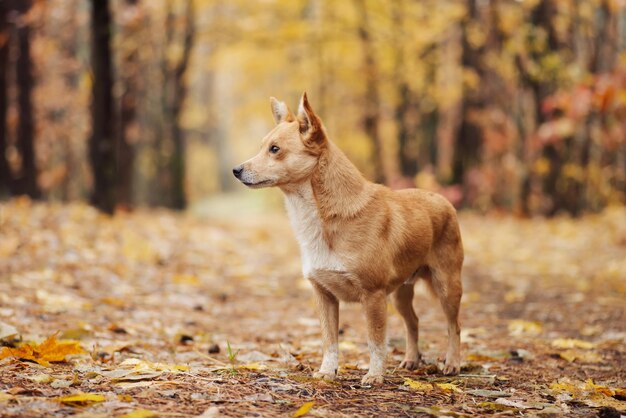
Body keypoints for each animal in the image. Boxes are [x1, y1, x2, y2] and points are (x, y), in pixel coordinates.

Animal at [232, 93, 460, 384]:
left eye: (275, 149)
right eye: (263, 146)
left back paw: (453, 363)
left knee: (454, 326)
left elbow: (376, 342)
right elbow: (329, 341)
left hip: (447, 286)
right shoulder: (324, 295)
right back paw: (411, 360)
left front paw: (374, 376)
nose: (236, 170)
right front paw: (327, 372)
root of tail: (442, 199)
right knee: (414, 322)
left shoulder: (373, 295)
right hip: (400, 294)